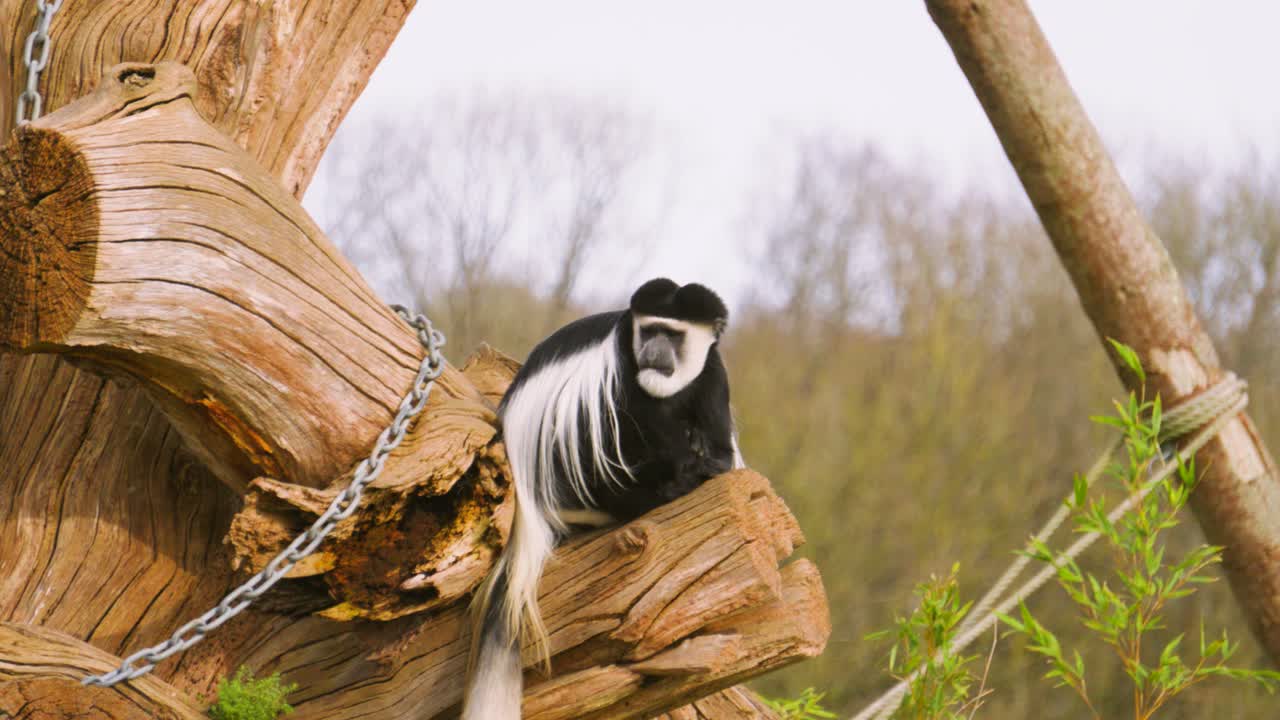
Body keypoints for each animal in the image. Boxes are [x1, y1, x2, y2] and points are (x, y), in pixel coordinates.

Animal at [461, 278, 741, 719]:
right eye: (649, 330)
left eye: (672, 335)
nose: (653, 351)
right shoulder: (622, 367)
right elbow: (639, 418)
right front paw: (686, 474)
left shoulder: (713, 374)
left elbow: (719, 449)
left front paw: (706, 464)